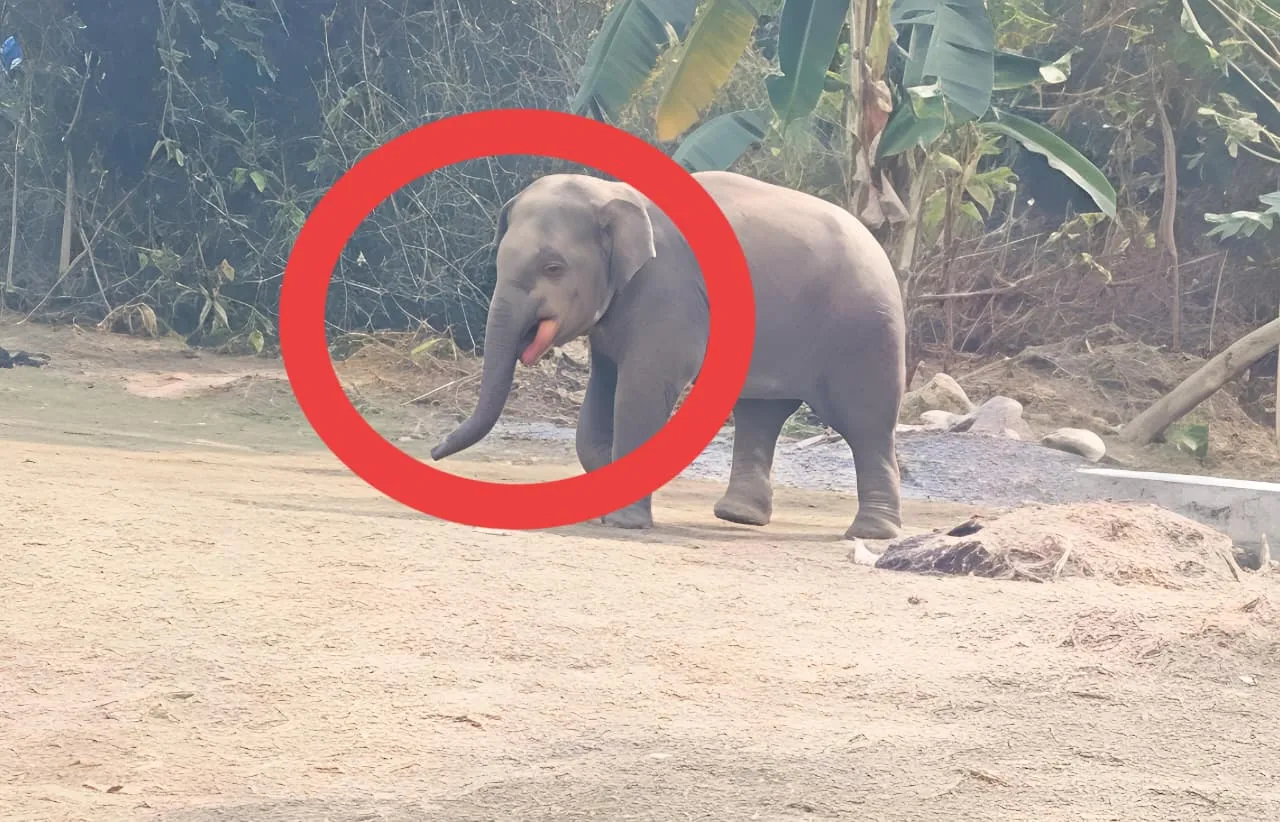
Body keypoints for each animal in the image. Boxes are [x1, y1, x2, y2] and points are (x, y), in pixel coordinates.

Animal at [429, 169, 907, 541]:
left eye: (553, 268)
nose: (432, 451)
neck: (614, 193)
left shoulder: (668, 291)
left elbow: (642, 386)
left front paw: (624, 522)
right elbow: (602, 388)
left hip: (866, 328)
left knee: (865, 422)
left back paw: (870, 532)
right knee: (761, 413)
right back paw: (738, 515)